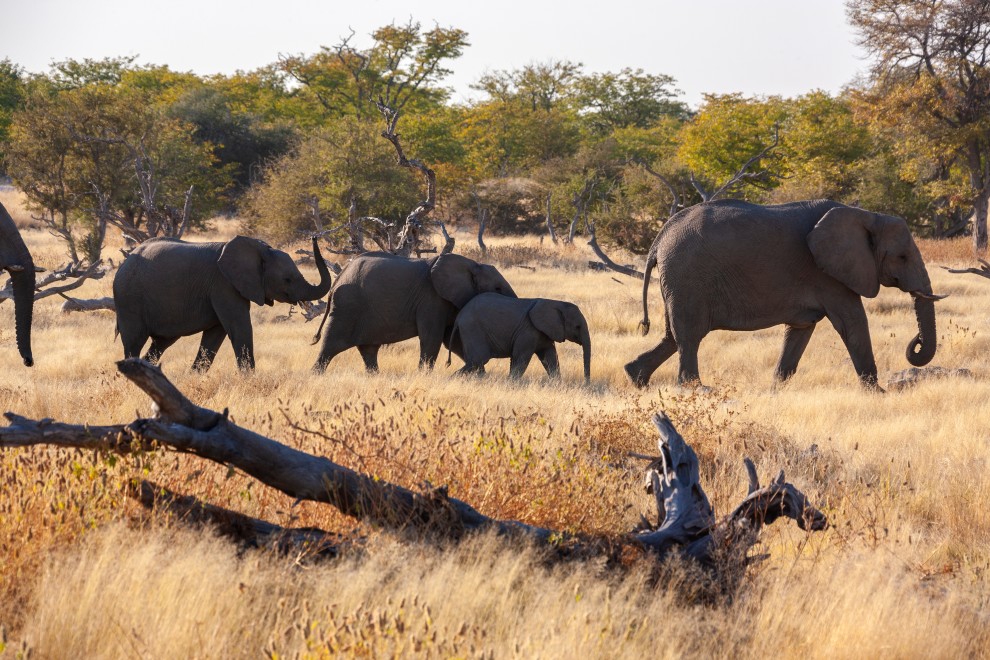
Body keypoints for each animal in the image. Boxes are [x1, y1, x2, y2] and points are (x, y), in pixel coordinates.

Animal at [111, 237, 332, 372]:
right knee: (134, 341)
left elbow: (215, 335)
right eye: (287, 279)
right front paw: (250, 380)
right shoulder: (223, 285)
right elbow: (239, 328)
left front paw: (194, 377)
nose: (314, 237)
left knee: (160, 344)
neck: (259, 249)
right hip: (128, 299)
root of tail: (125, 262)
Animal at [314, 250, 520, 372]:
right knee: (330, 345)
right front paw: (424, 375)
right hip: (347, 306)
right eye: (498, 288)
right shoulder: (432, 299)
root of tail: (339, 277)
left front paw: (478, 374)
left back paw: (374, 376)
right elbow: (432, 337)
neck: (472, 264)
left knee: (369, 349)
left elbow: (451, 340)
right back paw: (317, 373)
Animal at [446, 292, 592, 382]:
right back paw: (453, 380)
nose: (586, 383)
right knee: (478, 359)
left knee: (475, 361)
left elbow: (550, 357)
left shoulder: (543, 332)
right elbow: (521, 357)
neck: (555, 303)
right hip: (472, 328)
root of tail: (459, 316)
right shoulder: (528, 330)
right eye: (577, 327)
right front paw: (511, 383)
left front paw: (557, 384)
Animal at [624, 199, 948, 390]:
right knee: (689, 336)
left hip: (678, 281)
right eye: (902, 257)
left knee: (673, 336)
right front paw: (877, 393)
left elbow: (801, 330)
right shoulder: (828, 274)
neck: (868, 215)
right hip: (688, 276)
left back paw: (636, 379)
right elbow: (853, 322)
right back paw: (696, 389)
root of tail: (660, 238)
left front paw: (776, 391)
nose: (916, 342)